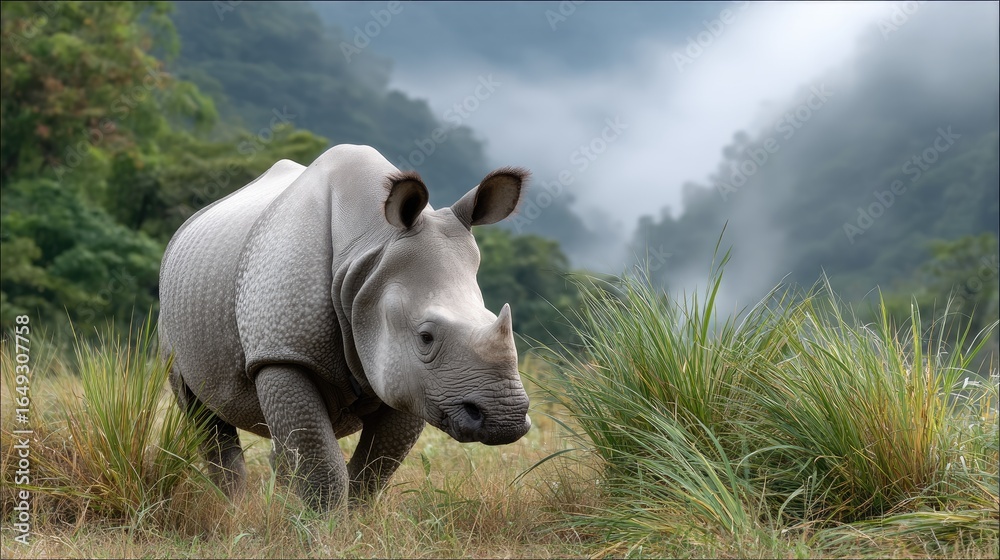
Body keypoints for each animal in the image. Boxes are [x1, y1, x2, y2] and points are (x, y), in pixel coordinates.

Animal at [158, 144, 532, 511]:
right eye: (426, 337)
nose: (506, 419)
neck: (369, 253)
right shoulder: (283, 353)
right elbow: (322, 465)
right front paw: (325, 525)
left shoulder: (418, 383)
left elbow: (374, 467)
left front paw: (354, 521)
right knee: (201, 412)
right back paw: (231, 511)